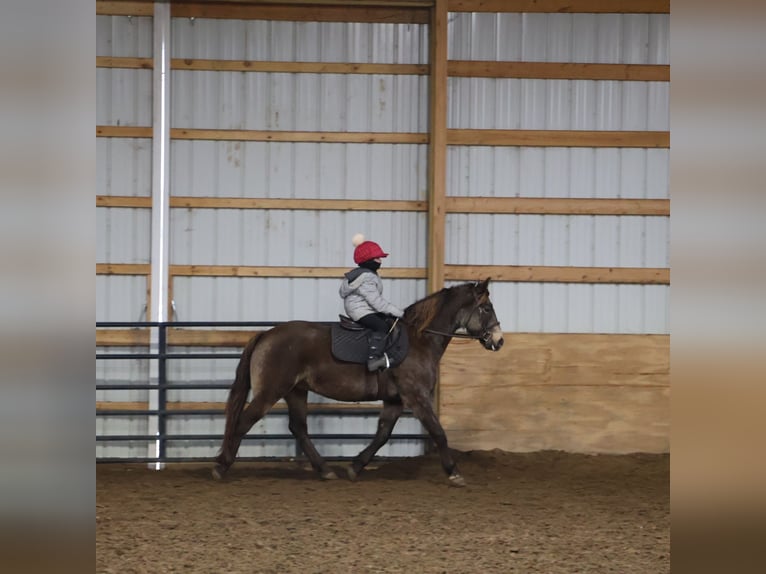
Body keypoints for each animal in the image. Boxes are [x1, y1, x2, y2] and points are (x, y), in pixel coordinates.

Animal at [212, 278, 504, 486]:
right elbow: (438, 433)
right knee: (244, 422)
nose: (499, 341)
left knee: (298, 428)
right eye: (486, 308)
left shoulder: (395, 400)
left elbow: (382, 434)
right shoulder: (417, 397)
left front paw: (355, 467)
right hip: (271, 391)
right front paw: (454, 472)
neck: (419, 339)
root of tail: (266, 335)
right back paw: (221, 466)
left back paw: (325, 470)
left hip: (296, 391)